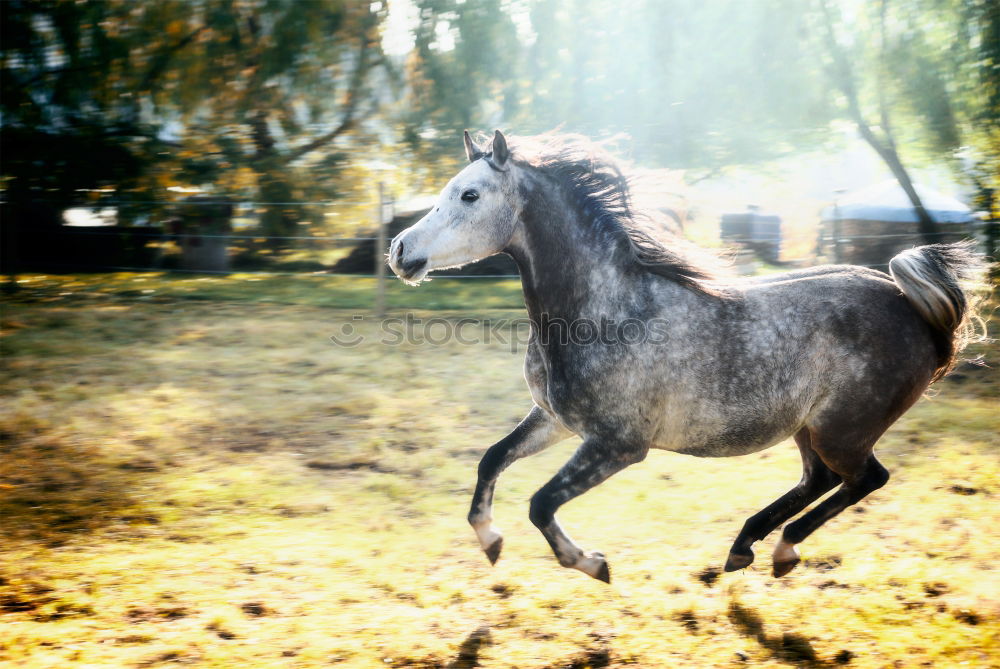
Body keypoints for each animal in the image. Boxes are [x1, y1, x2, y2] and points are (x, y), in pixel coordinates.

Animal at [386, 129, 980, 580]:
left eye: (469, 195)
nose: (398, 251)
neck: (606, 310)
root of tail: (914, 305)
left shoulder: (618, 445)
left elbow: (540, 503)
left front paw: (592, 563)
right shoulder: (556, 420)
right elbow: (491, 459)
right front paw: (490, 540)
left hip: (843, 431)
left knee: (865, 479)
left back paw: (781, 549)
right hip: (810, 429)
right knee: (820, 481)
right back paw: (745, 548)